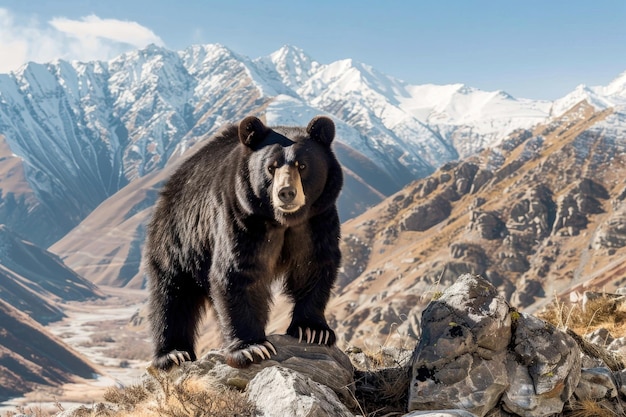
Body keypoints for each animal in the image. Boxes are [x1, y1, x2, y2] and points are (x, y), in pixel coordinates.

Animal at [143, 114, 342, 368]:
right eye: (271, 167)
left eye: (302, 165)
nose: (286, 193)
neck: (284, 221)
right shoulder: (243, 218)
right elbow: (237, 271)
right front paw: (252, 348)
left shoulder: (317, 220)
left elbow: (314, 264)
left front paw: (314, 331)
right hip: (179, 238)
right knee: (171, 293)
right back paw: (173, 353)